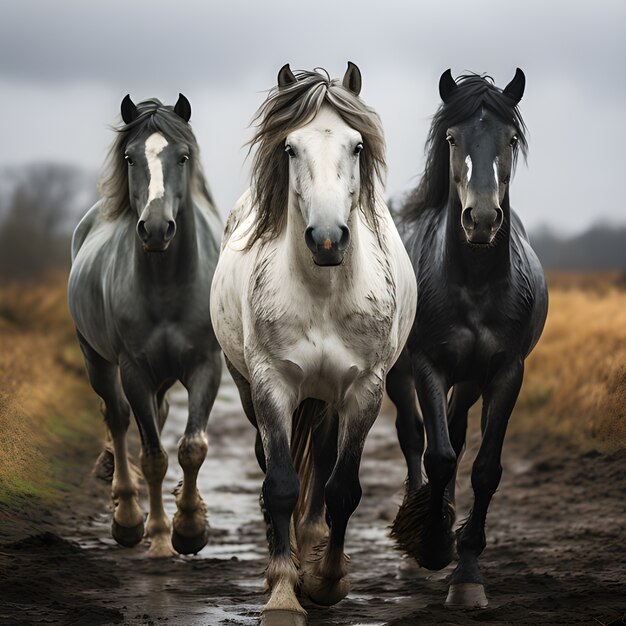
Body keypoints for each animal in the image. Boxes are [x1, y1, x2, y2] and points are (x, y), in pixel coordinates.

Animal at [68, 94, 223, 556]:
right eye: (130, 157)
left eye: (183, 156)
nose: (155, 229)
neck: (168, 284)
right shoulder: (134, 369)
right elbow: (152, 455)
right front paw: (157, 529)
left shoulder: (206, 366)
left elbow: (192, 448)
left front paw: (190, 528)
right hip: (96, 360)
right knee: (119, 421)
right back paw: (134, 520)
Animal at [210, 64, 414, 624]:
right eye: (290, 147)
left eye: (357, 146)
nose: (327, 239)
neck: (323, 292)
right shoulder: (270, 385)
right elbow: (280, 485)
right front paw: (283, 592)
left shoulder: (365, 391)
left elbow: (341, 488)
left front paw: (326, 581)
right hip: (253, 389)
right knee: (274, 465)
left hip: (329, 396)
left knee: (322, 463)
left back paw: (313, 544)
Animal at [386, 68, 544, 604]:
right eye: (453, 139)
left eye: (511, 138)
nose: (482, 219)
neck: (474, 283)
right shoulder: (428, 365)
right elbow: (437, 455)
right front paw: (434, 546)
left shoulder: (506, 372)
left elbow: (484, 468)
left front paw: (468, 570)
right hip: (399, 374)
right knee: (414, 435)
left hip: (471, 379)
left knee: (454, 433)